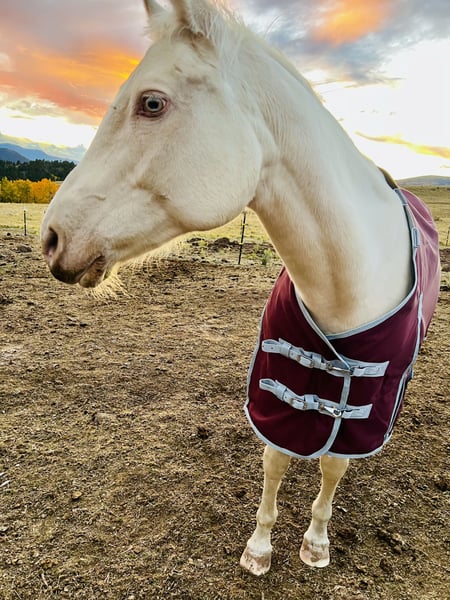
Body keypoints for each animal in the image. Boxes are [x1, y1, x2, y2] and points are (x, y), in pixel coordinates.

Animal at [41, 0, 440, 576]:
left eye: (152, 103)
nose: (50, 237)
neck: (343, 285)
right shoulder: (278, 387)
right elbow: (276, 460)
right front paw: (260, 547)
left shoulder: (367, 403)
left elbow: (333, 468)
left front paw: (316, 541)